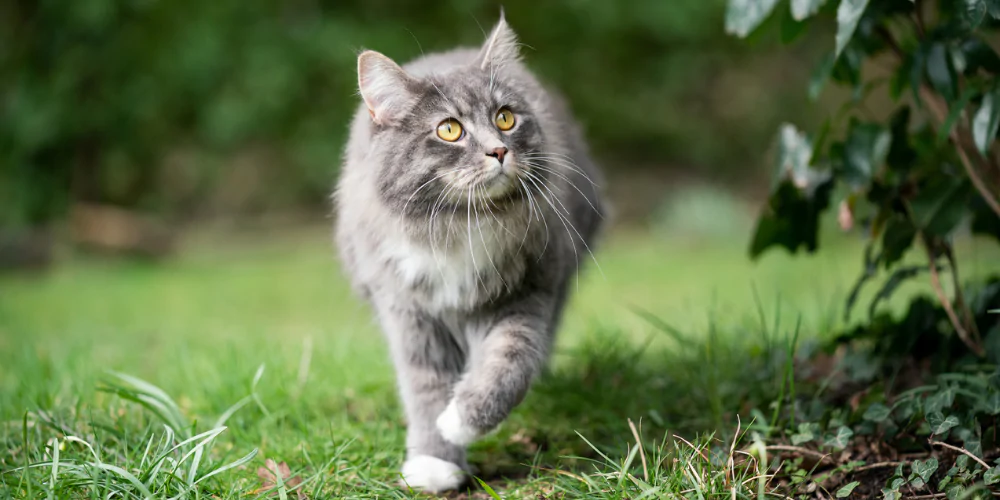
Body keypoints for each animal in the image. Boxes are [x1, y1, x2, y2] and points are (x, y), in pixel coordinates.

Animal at [332, 14, 604, 492]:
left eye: (505, 117)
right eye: (449, 130)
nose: (499, 150)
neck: (460, 225)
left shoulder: (528, 290)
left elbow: (508, 365)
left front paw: (460, 418)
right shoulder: (408, 312)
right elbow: (424, 390)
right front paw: (434, 461)